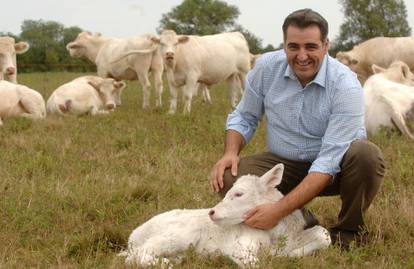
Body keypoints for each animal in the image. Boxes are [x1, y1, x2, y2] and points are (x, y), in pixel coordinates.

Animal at [118, 30, 251, 113]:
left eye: (176, 43)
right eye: (162, 43)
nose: (169, 54)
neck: (177, 62)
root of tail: (236, 34)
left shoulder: (192, 77)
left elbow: (187, 95)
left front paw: (186, 112)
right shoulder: (170, 78)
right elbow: (173, 95)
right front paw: (171, 112)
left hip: (244, 72)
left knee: (244, 91)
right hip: (231, 75)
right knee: (233, 93)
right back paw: (233, 110)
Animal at [121, 163, 332, 266]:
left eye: (239, 194)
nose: (212, 212)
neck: (275, 235)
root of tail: (133, 236)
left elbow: (324, 234)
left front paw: (287, 256)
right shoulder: (240, 246)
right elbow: (255, 263)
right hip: (179, 235)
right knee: (136, 256)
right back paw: (165, 263)